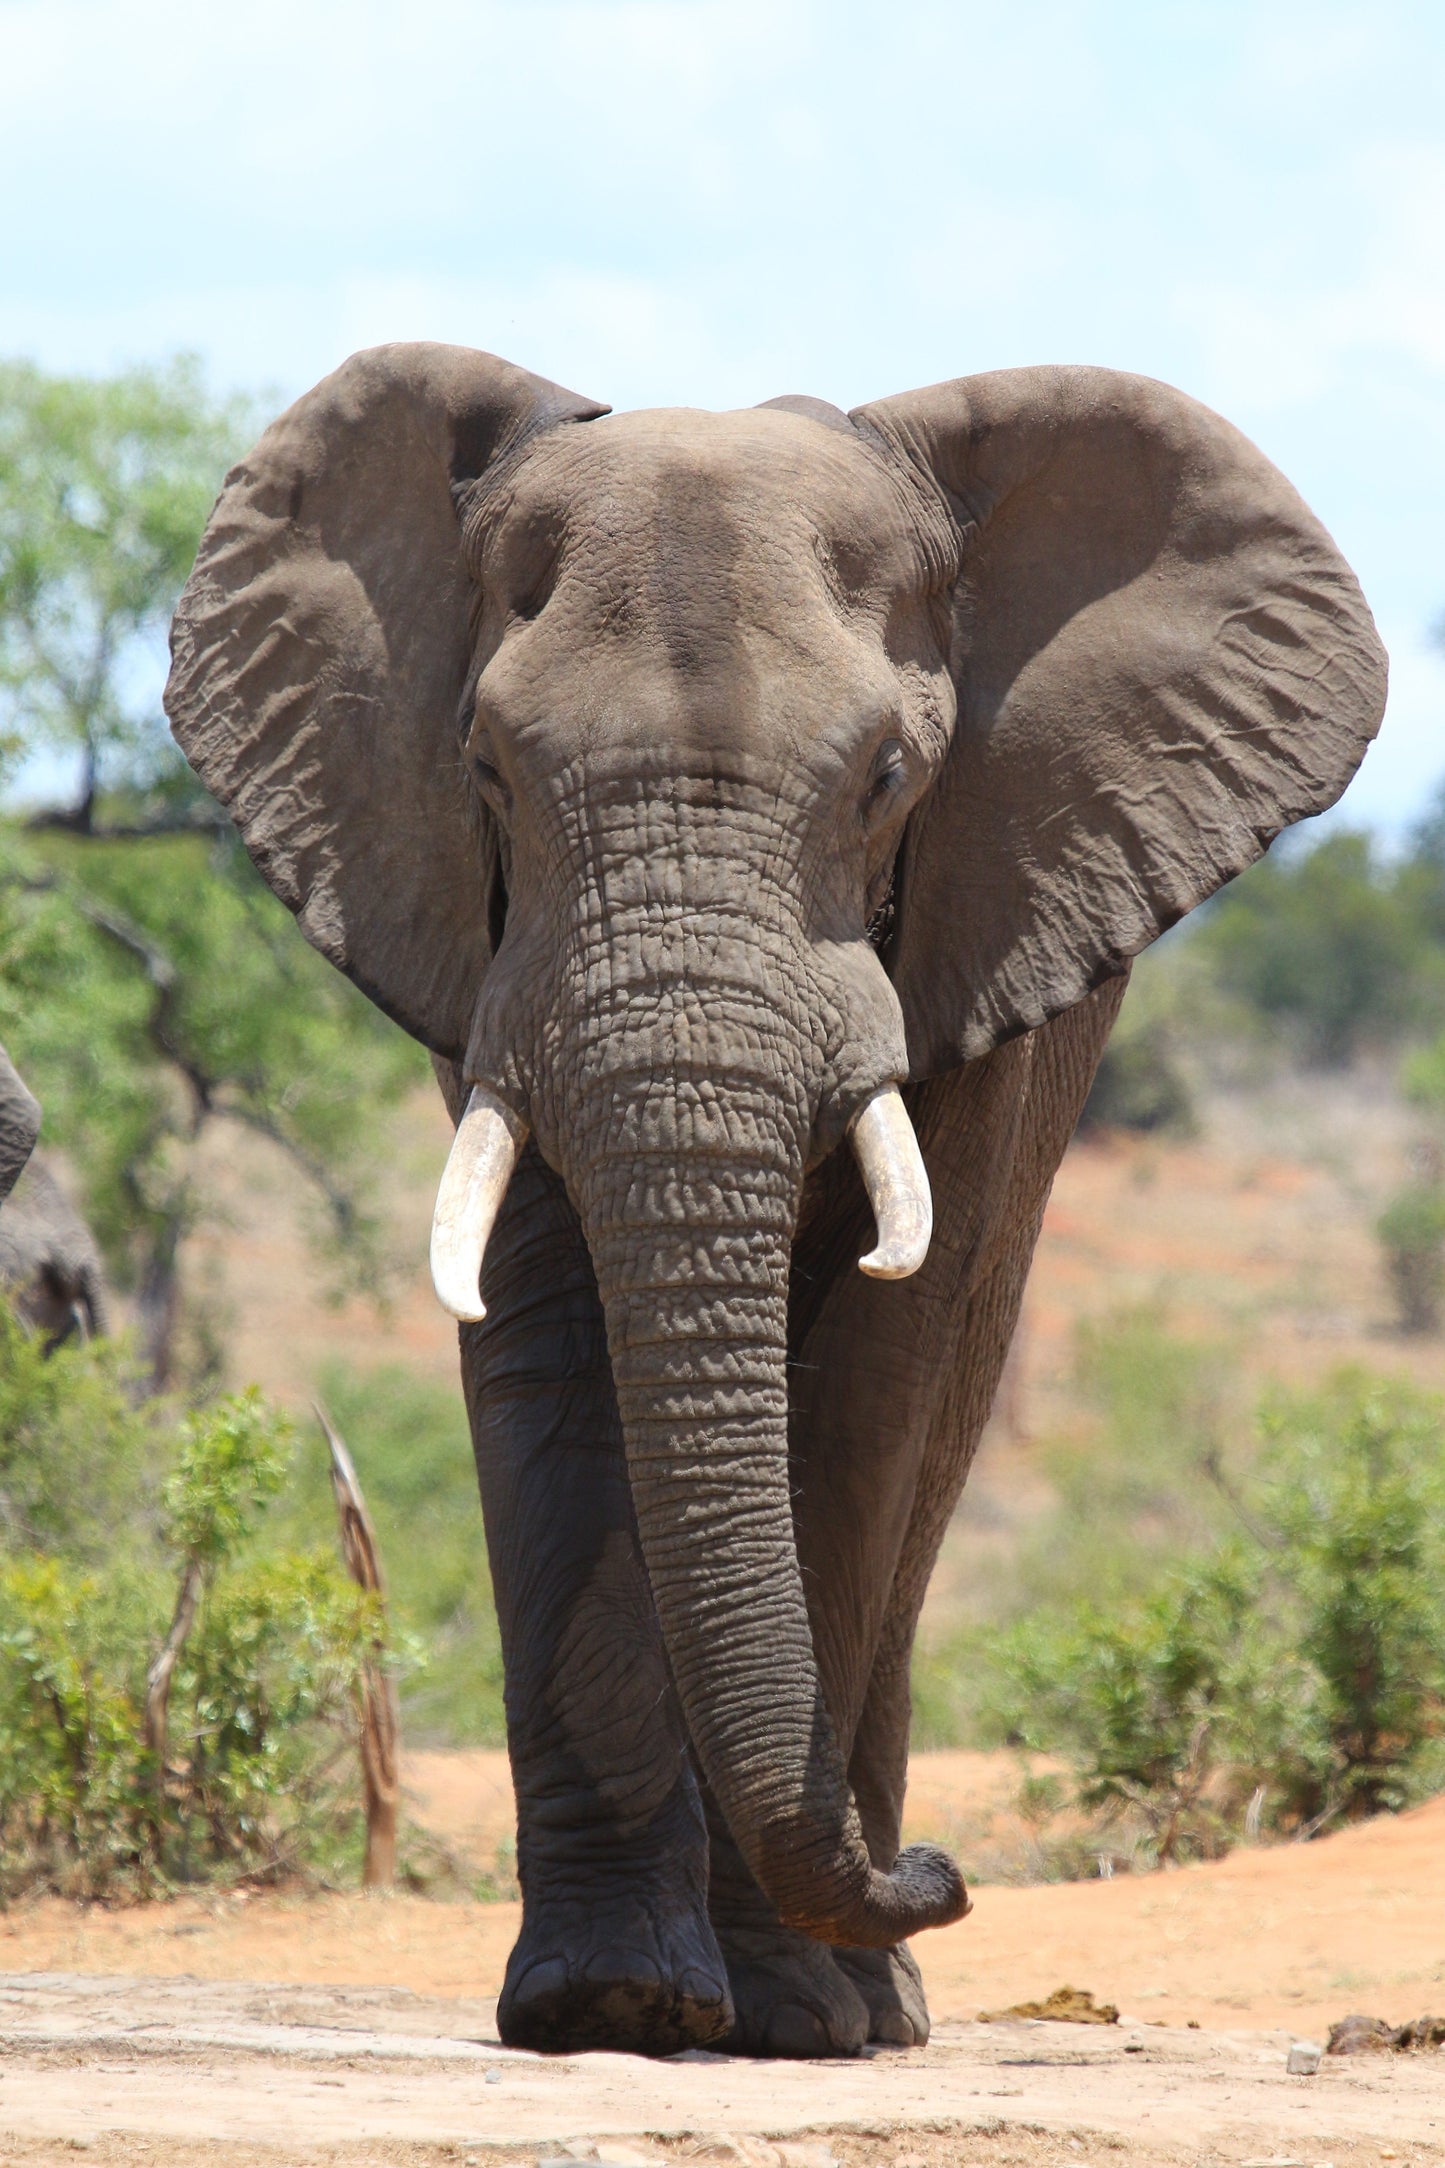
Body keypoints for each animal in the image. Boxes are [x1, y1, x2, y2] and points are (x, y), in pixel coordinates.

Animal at [165, 345, 1385, 2060]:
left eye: (886, 779)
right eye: (486, 774)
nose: (941, 1873)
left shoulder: (978, 917)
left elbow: (871, 1377)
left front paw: (797, 2017)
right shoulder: (489, 956)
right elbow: (544, 1341)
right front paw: (607, 2001)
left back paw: (876, 1998)